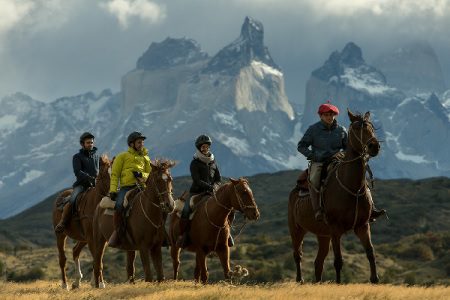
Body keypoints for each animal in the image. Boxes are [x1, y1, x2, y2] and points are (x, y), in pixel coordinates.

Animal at [50, 154, 110, 290]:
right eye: (105, 175)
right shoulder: (91, 238)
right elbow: (97, 260)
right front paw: (100, 283)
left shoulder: (100, 239)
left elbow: (98, 260)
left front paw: (98, 283)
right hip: (60, 235)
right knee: (62, 259)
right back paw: (65, 284)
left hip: (82, 239)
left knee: (75, 251)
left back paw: (77, 281)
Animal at [91, 159, 176, 288]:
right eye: (158, 180)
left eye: (170, 179)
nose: (169, 205)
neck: (148, 211)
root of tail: (98, 207)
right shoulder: (143, 247)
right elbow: (149, 277)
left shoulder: (156, 247)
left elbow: (161, 277)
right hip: (99, 242)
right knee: (97, 265)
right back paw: (99, 286)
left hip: (129, 248)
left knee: (130, 269)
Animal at [290, 109, 382, 284]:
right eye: (356, 128)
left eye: (372, 127)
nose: (374, 146)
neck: (352, 187)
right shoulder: (335, 229)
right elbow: (338, 261)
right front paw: (339, 284)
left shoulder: (363, 226)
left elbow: (370, 253)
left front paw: (375, 280)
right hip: (296, 229)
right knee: (298, 256)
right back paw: (300, 280)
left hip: (323, 235)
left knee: (318, 262)